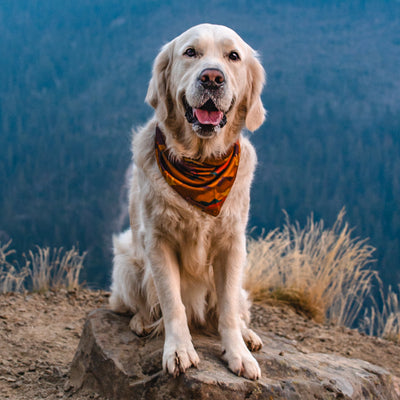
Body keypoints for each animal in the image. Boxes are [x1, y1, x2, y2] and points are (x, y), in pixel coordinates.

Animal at [109, 23, 266, 380]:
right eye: (190, 52)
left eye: (233, 56)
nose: (212, 78)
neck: (200, 163)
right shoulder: (158, 242)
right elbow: (172, 304)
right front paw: (179, 350)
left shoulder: (232, 245)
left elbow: (227, 310)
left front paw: (238, 353)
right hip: (126, 262)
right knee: (139, 303)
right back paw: (142, 322)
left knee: (234, 307)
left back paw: (248, 335)